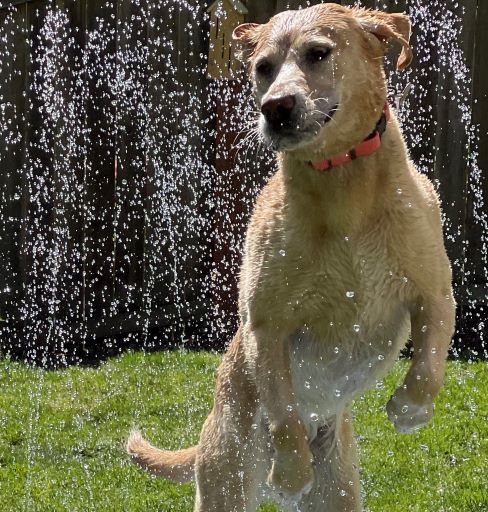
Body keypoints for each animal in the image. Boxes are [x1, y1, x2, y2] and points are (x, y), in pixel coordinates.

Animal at [127, 5, 456, 512]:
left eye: (317, 53)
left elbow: (429, 364)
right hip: (227, 474)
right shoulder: (267, 326)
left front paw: (409, 409)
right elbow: (282, 409)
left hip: (337, 489)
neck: (342, 185)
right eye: (263, 67)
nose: (275, 107)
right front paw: (290, 471)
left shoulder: (434, 292)